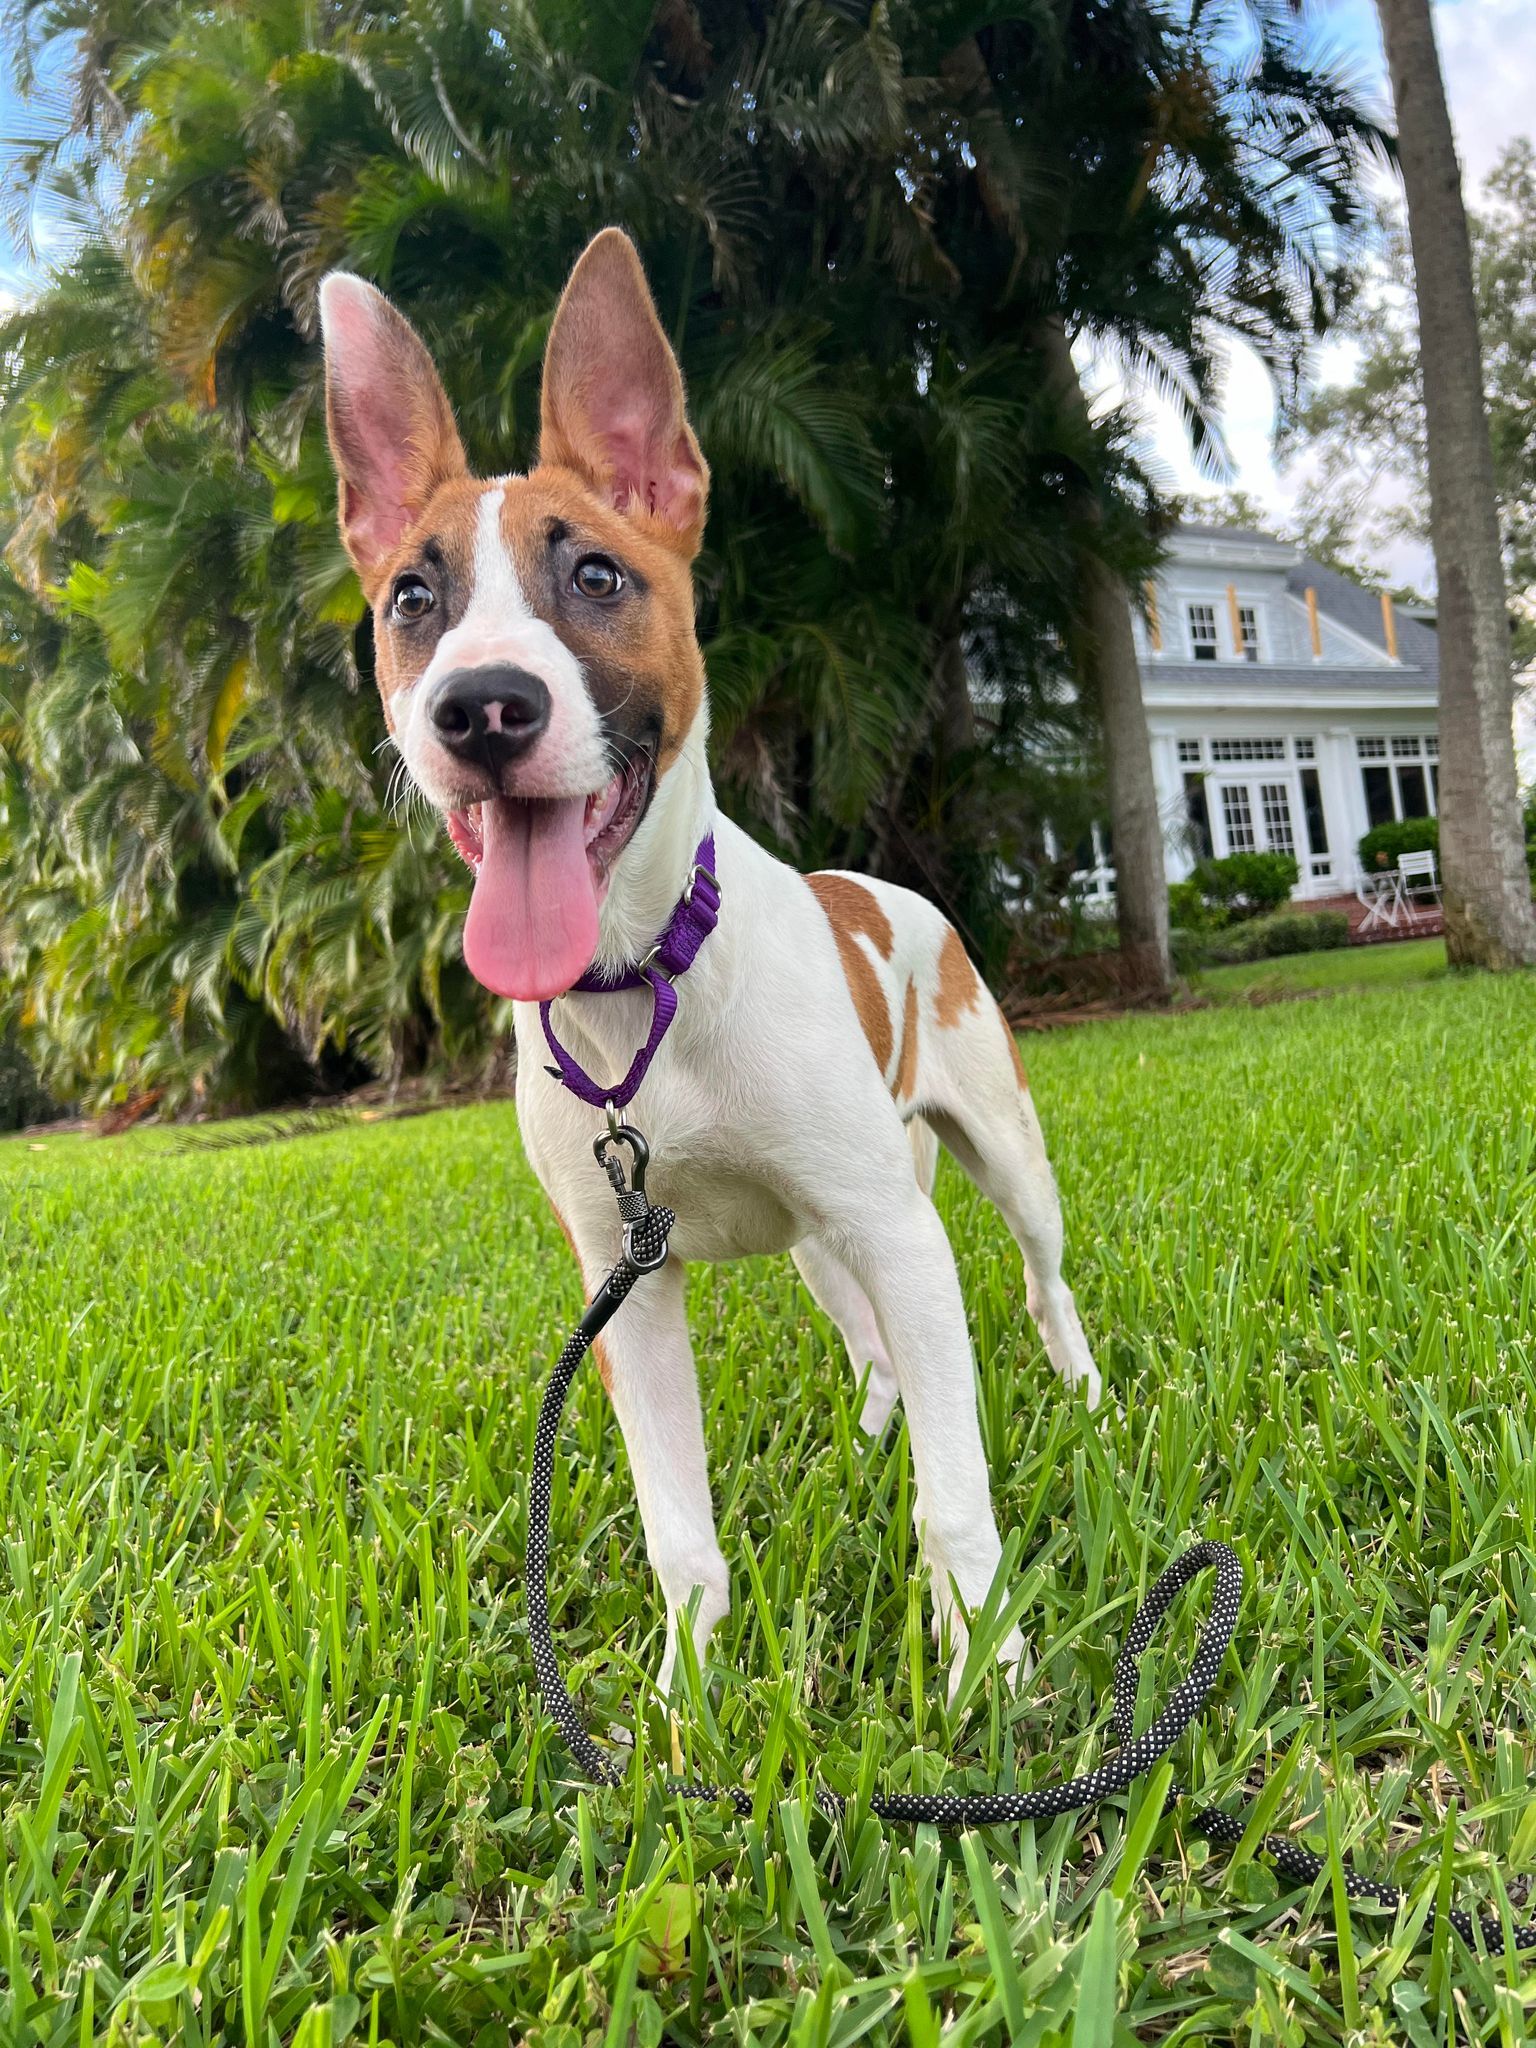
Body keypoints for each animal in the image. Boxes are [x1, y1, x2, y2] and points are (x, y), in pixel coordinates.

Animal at [319, 228, 1097, 1695]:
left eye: (596, 576)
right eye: (412, 598)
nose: (481, 708)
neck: (642, 986)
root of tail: (886, 887)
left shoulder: (903, 1236)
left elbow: (957, 1495)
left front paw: (986, 1662)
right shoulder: (625, 1286)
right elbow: (678, 1523)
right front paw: (689, 1698)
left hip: (995, 1154)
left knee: (1040, 1274)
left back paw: (1083, 1387)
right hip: (815, 1238)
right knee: (869, 1347)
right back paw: (866, 1436)